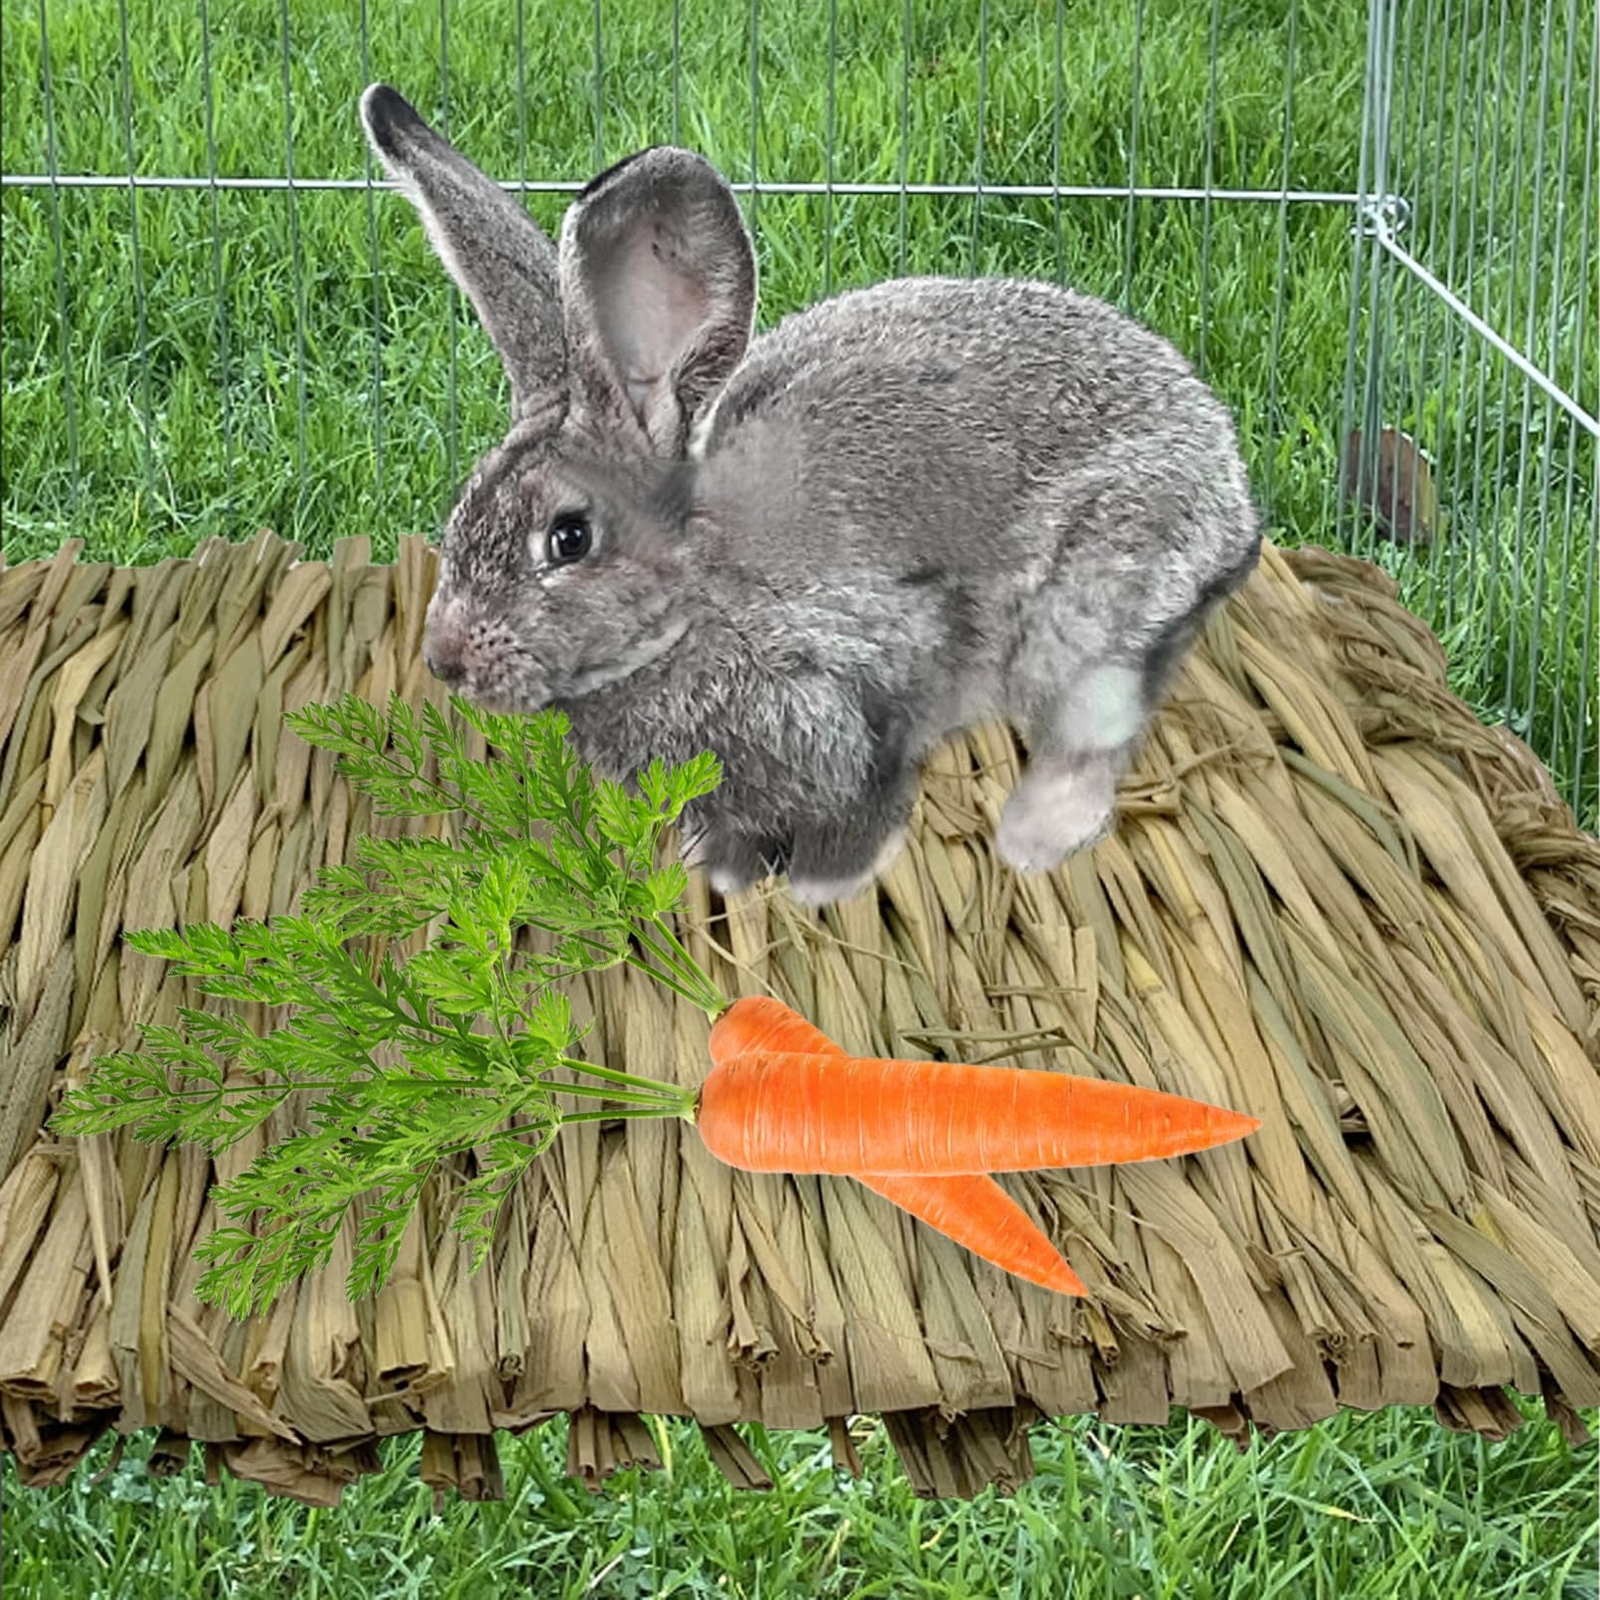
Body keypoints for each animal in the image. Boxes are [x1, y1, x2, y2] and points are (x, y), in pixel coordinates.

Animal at [360, 83, 1262, 906]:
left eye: (569, 538)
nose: (445, 660)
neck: (695, 606)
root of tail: (1223, 467)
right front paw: (721, 877)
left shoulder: (870, 693)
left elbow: (863, 809)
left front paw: (819, 892)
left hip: (1091, 612)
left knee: (1093, 730)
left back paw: (1034, 839)